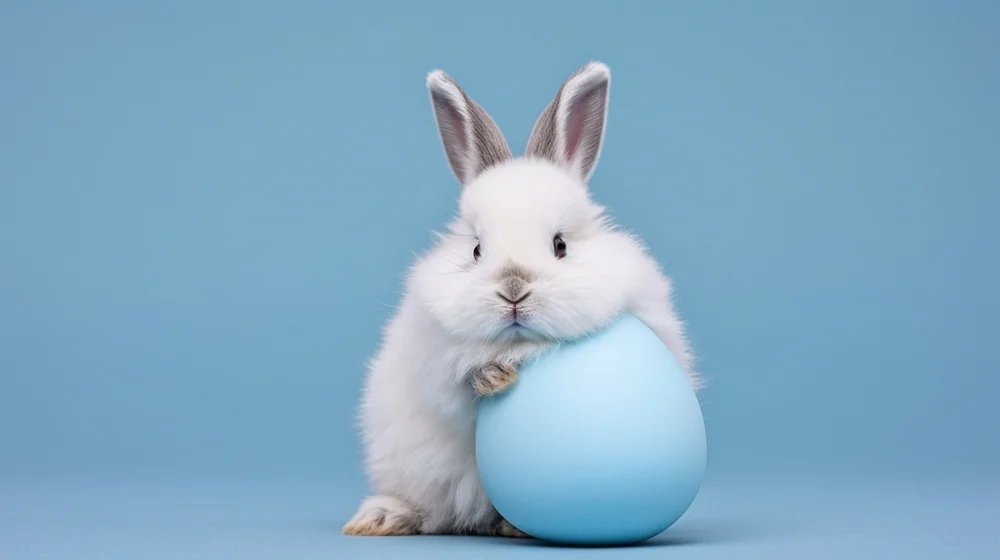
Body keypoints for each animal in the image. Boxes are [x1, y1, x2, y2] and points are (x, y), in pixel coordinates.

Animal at [342, 61, 700, 538]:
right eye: (476, 250)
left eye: (560, 245)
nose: (513, 290)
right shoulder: (432, 362)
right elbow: (458, 392)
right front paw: (494, 377)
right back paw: (382, 517)